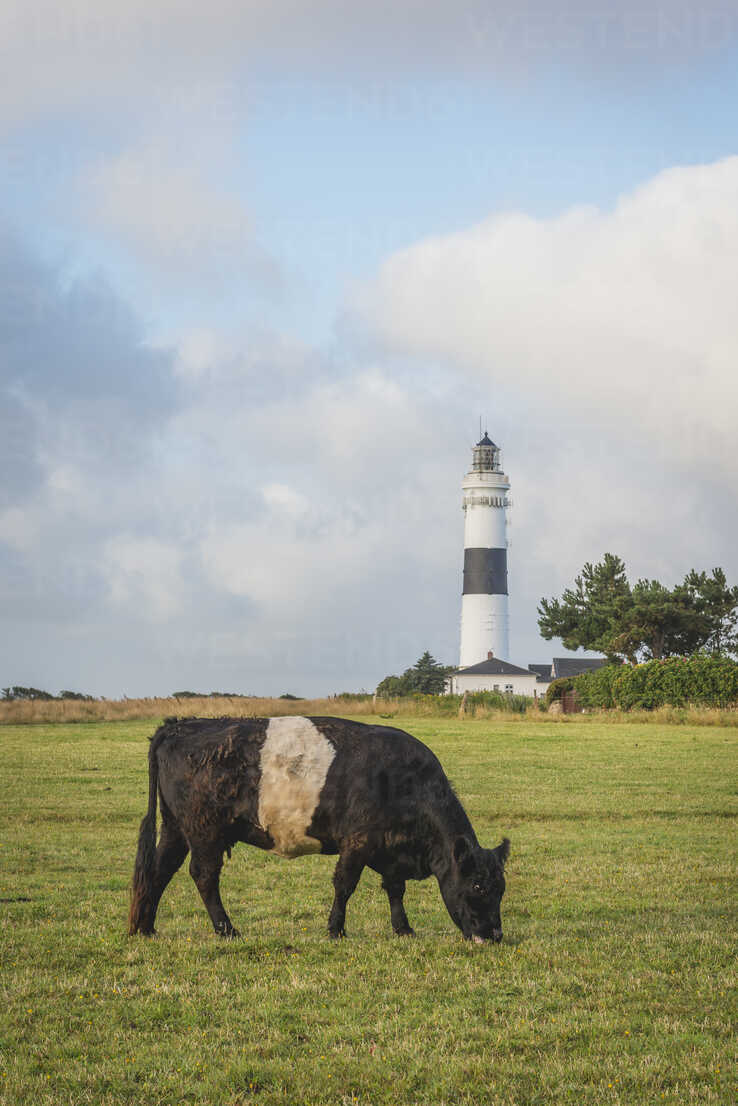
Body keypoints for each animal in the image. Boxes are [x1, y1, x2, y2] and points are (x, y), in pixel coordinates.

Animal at [128, 716, 508, 942]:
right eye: (477, 885)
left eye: (501, 889)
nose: (494, 935)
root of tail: (180, 725)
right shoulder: (357, 841)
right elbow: (345, 885)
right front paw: (336, 929)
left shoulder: (388, 848)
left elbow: (395, 889)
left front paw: (403, 928)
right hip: (205, 830)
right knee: (204, 875)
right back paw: (226, 929)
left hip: (176, 828)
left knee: (159, 870)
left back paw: (146, 928)